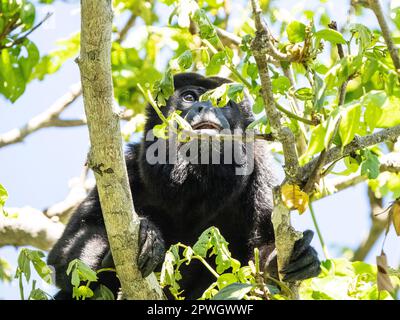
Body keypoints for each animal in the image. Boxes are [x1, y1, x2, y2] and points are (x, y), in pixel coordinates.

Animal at [48, 73, 320, 300]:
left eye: (222, 101)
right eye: (189, 97)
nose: (206, 106)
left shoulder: (260, 173)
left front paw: (284, 260)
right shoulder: (130, 166)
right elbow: (64, 257)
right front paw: (147, 234)